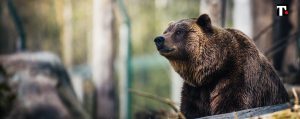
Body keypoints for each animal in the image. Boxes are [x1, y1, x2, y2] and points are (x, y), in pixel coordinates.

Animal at [154, 14, 290, 118]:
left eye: (179, 31)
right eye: (166, 31)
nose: (159, 39)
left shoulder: (237, 77)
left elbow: (231, 105)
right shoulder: (195, 89)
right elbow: (190, 109)